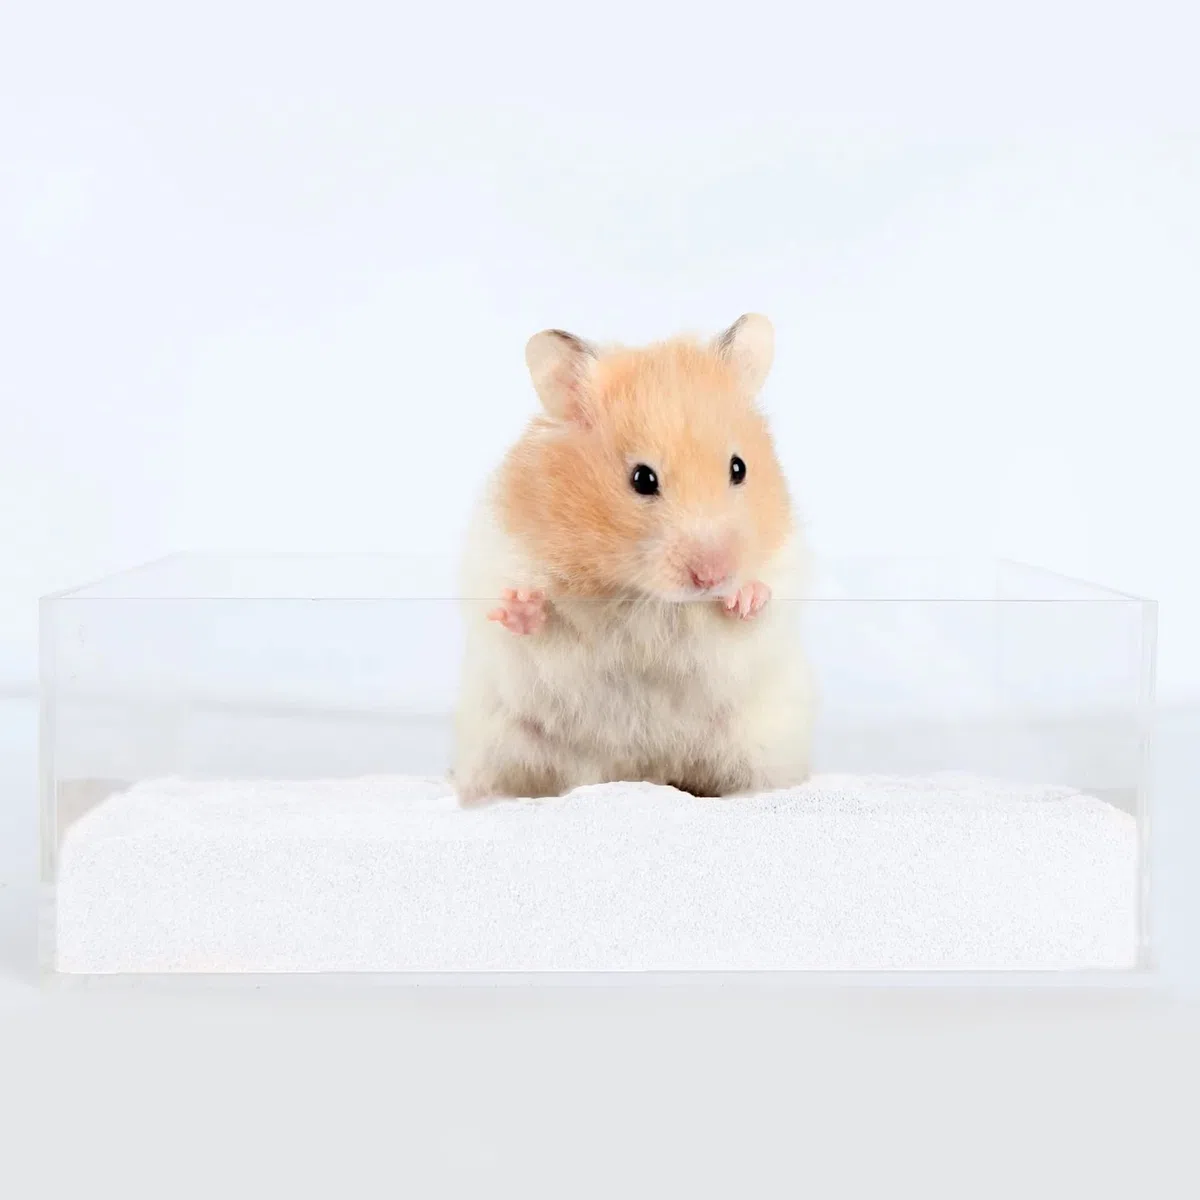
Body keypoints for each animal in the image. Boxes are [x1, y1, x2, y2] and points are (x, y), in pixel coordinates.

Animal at [451, 313, 814, 805]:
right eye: (642, 479)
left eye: (739, 468)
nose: (712, 576)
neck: (642, 594)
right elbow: (536, 625)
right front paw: (521, 605)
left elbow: (755, 615)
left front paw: (746, 596)